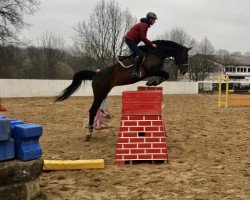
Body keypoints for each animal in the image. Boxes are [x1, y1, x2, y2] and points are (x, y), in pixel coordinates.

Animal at [55, 39, 191, 141]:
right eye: (185, 56)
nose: (184, 71)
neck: (156, 52)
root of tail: (96, 74)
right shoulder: (152, 70)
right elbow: (166, 75)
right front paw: (152, 82)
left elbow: (164, 75)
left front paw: (152, 82)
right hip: (100, 93)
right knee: (92, 110)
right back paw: (89, 134)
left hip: (103, 93)